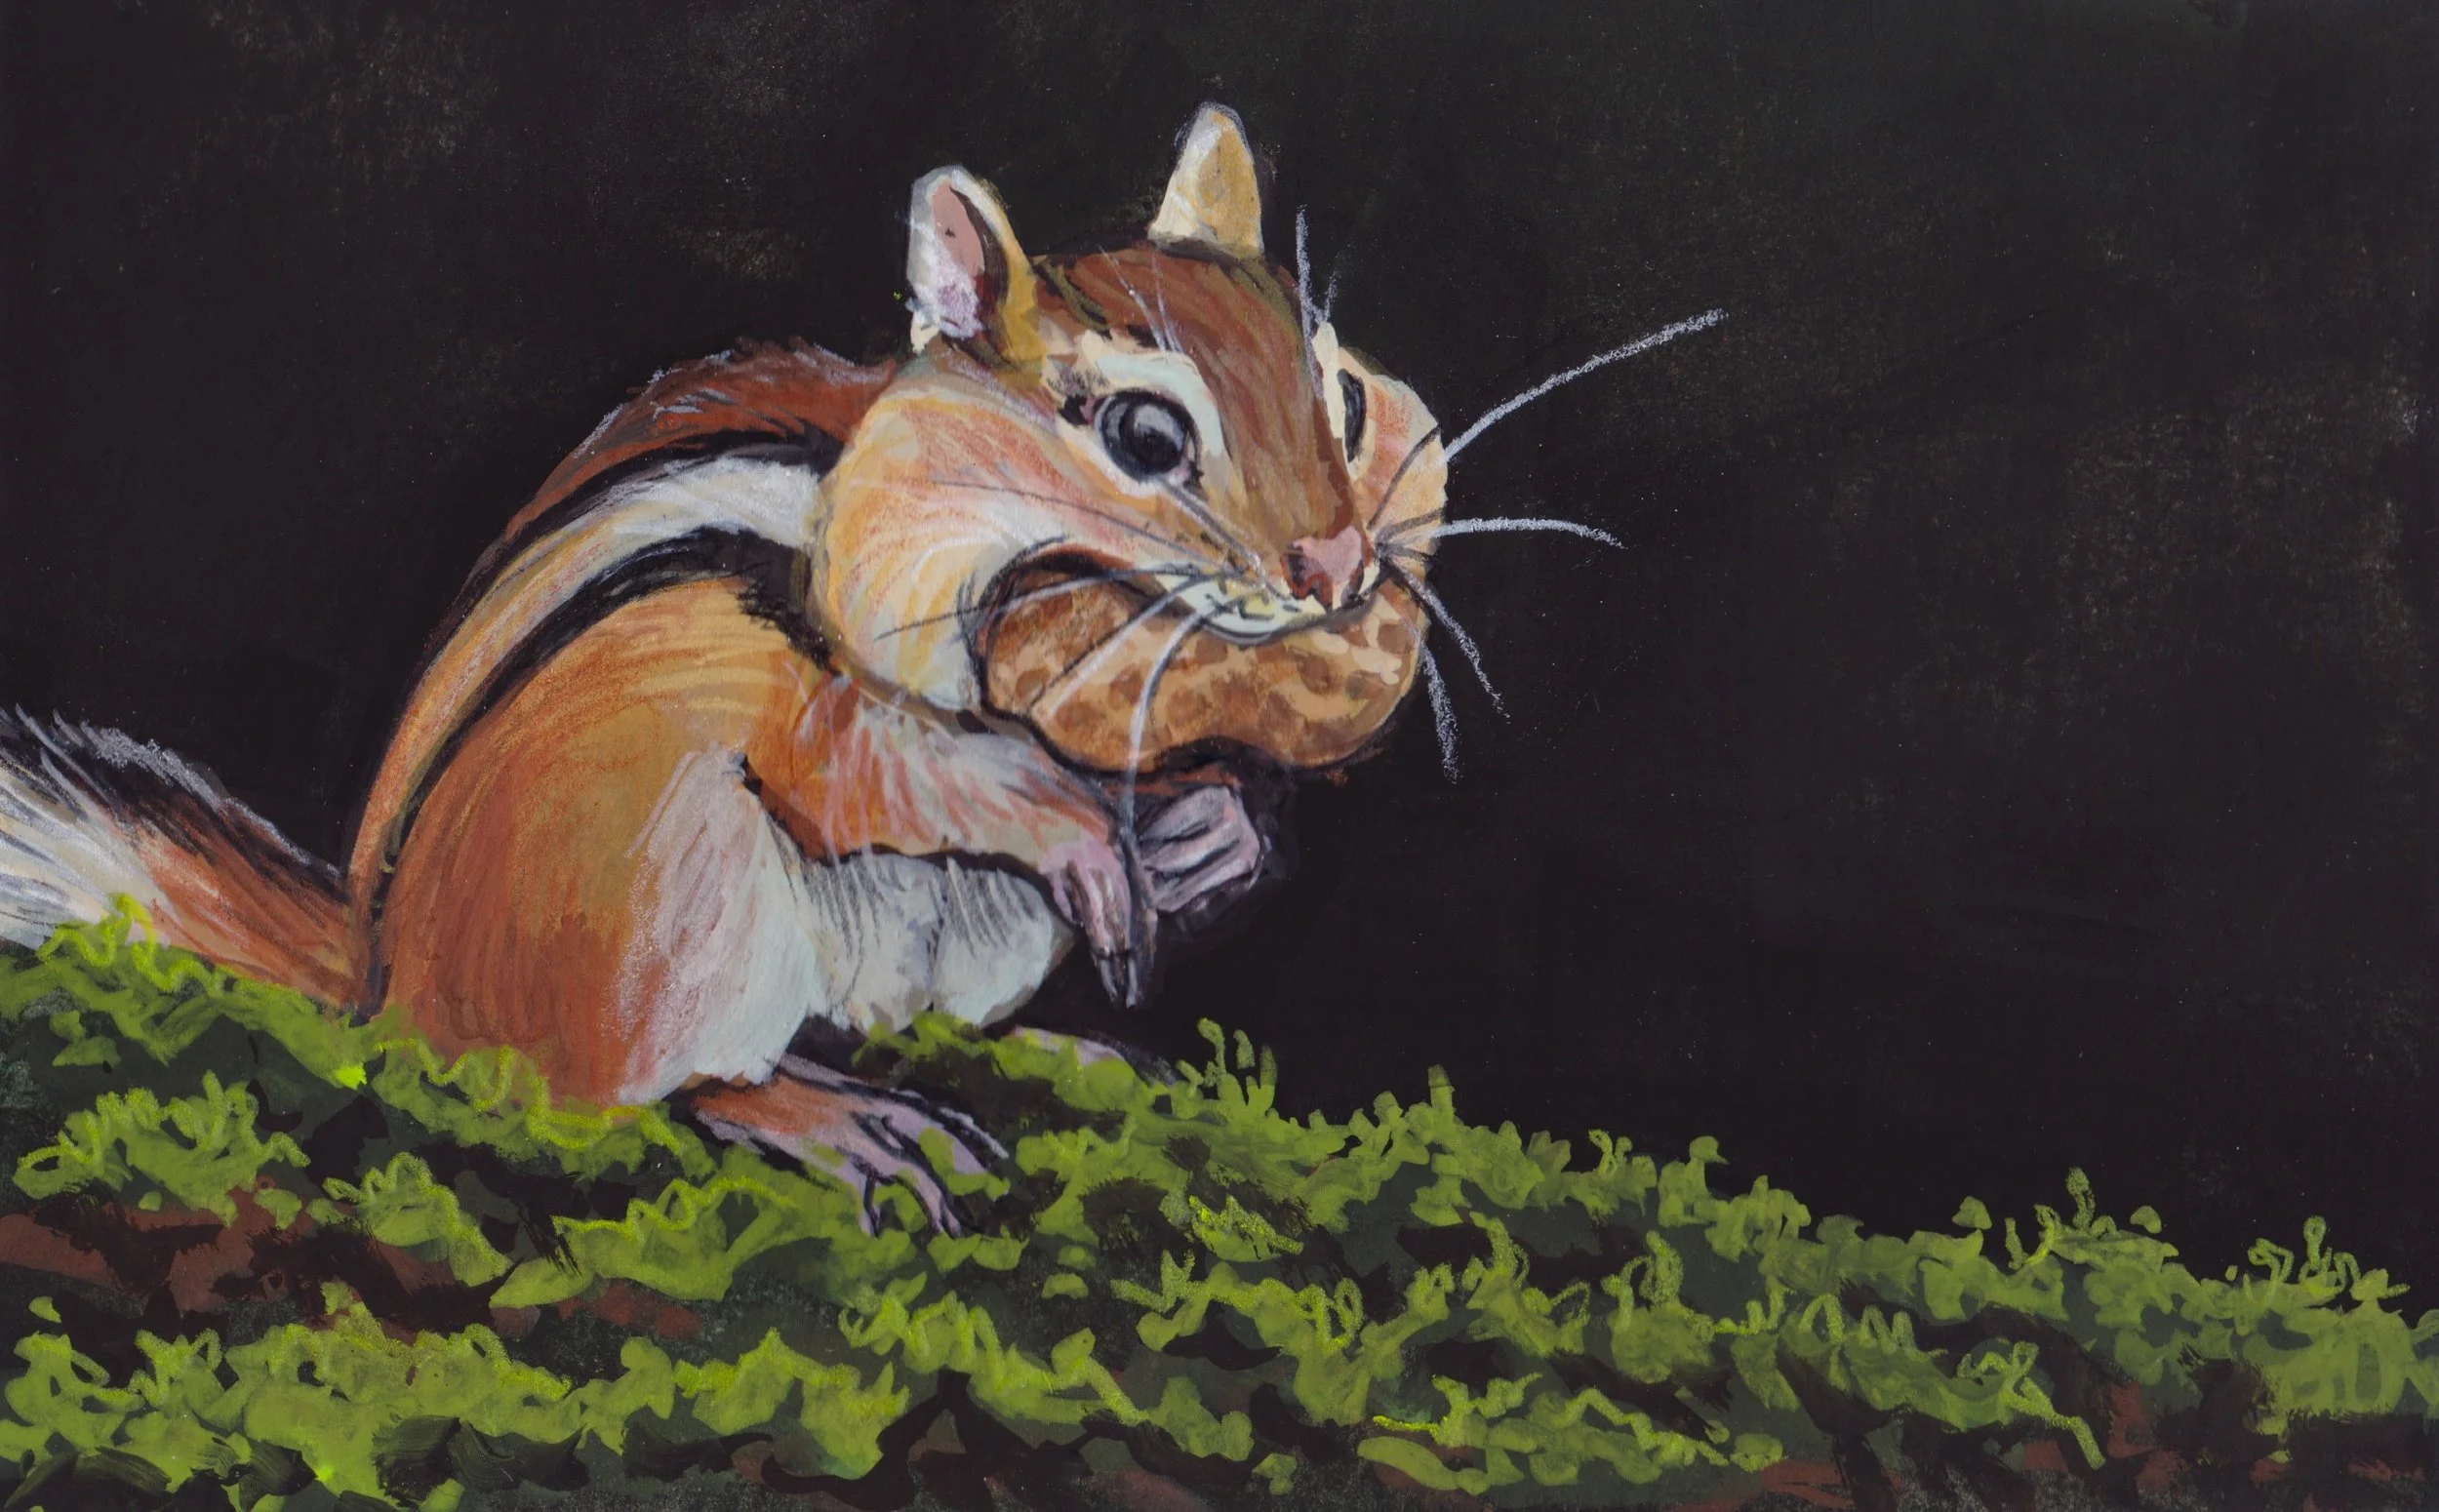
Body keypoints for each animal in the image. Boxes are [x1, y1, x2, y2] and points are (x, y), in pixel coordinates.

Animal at [0, 106, 1449, 1225]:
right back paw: (830, 1115)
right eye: (1147, 436)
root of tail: (388, 982)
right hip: (663, 910)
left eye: (1340, 393)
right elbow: (890, 774)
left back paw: (1071, 1049)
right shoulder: (810, 690)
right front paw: (1085, 826)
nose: (1336, 564)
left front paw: (1214, 833)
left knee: (916, 1023)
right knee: (645, 1086)